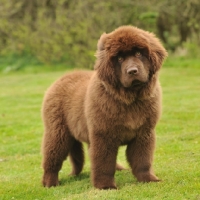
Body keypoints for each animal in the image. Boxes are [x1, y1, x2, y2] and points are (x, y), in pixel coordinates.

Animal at [41, 25, 167, 189]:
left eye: (139, 53)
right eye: (119, 58)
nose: (132, 71)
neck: (130, 100)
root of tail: (61, 78)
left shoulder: (144, 133)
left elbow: (143, 160)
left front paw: (148, 179)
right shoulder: (104, 135)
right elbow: (104, 162)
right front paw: (105, 186)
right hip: (58, 132)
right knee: (52, 157)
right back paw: (49, 182)